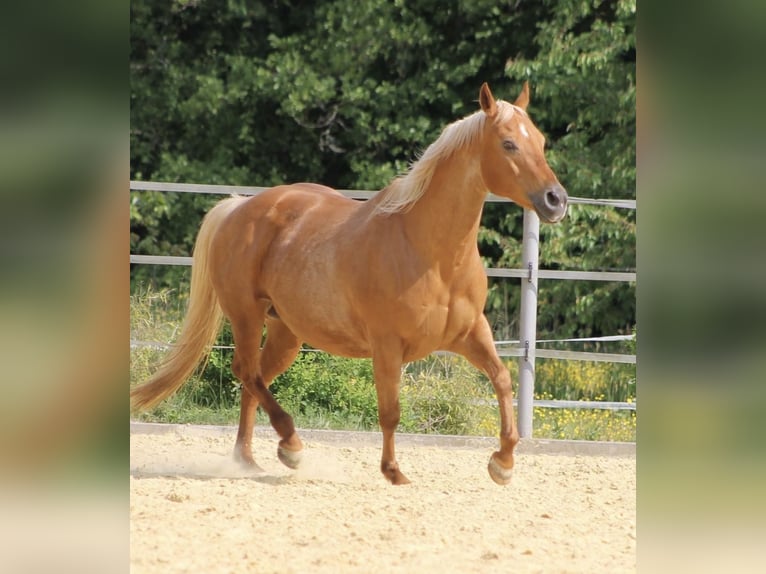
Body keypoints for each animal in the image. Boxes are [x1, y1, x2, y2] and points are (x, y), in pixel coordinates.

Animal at [130, 83, 568, 485]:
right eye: (509, 144)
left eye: (541, 141)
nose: (556, 200)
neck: (432, 253)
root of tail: (240, 207)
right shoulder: (387, 345)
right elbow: (390, 410)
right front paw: (393, 472)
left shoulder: (470, 334)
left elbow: (503, 381)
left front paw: (502, 464)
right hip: (246, 316)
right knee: (248, 373)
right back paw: (291, 447)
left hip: (286, 333)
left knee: (254, 381)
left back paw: (248, 460)